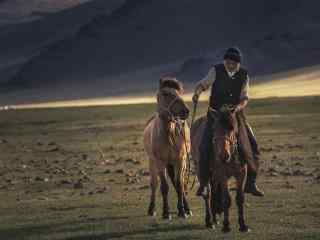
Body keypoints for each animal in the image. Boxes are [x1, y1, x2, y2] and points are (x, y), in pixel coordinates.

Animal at [143, 78, 192, 220]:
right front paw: (166, 213)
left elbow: (179, 184)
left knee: (178, 183)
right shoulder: (160, 161)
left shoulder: (180, 160)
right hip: (153, 162)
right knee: (154, 184)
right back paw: (151, 209)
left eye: (179, 93)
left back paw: (187, 208)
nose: (186, 111)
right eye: (165, 93)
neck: (169, 135)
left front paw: (182, 211)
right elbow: (164, 186)